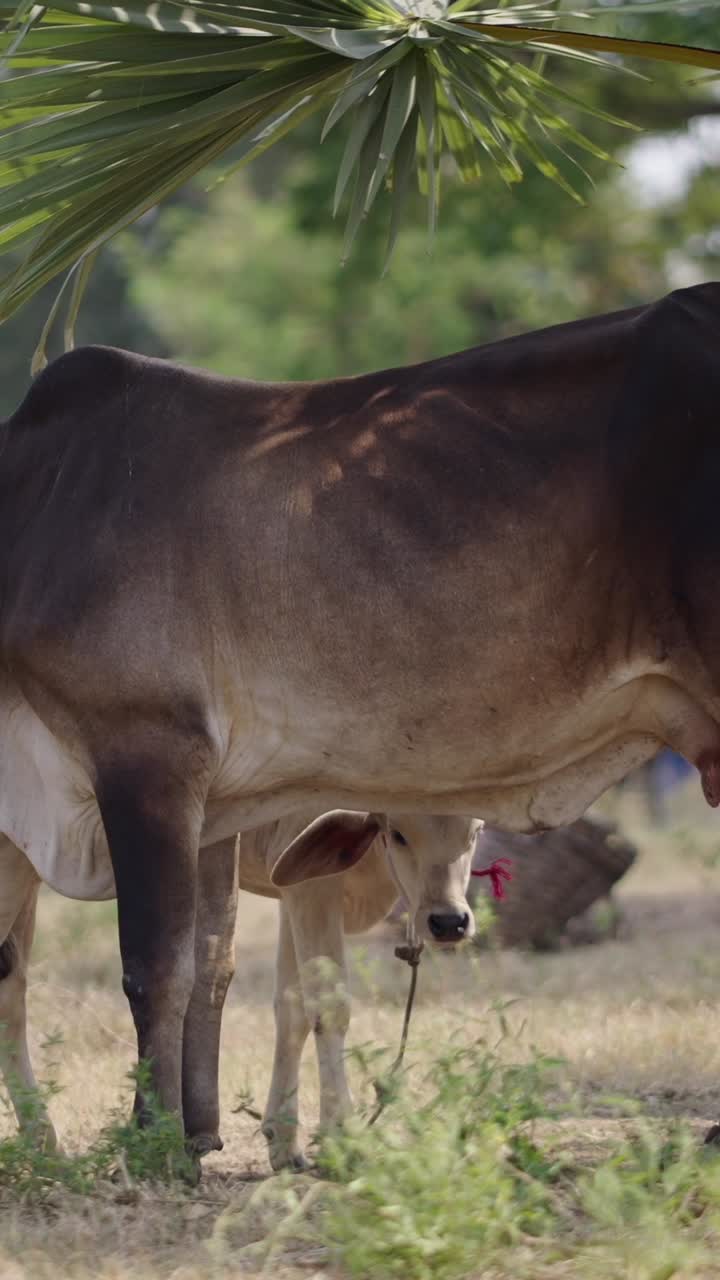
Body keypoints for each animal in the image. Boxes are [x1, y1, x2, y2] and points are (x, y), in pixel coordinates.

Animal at [0, 810, 478, 1160]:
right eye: (398, 834)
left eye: (474, 833)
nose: (449, 921)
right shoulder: (313, 887)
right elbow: (328, 1005)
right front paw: (341, 1137)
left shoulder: (291, 890)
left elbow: (291, 1007)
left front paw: (283, 1140)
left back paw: (43, 1142)